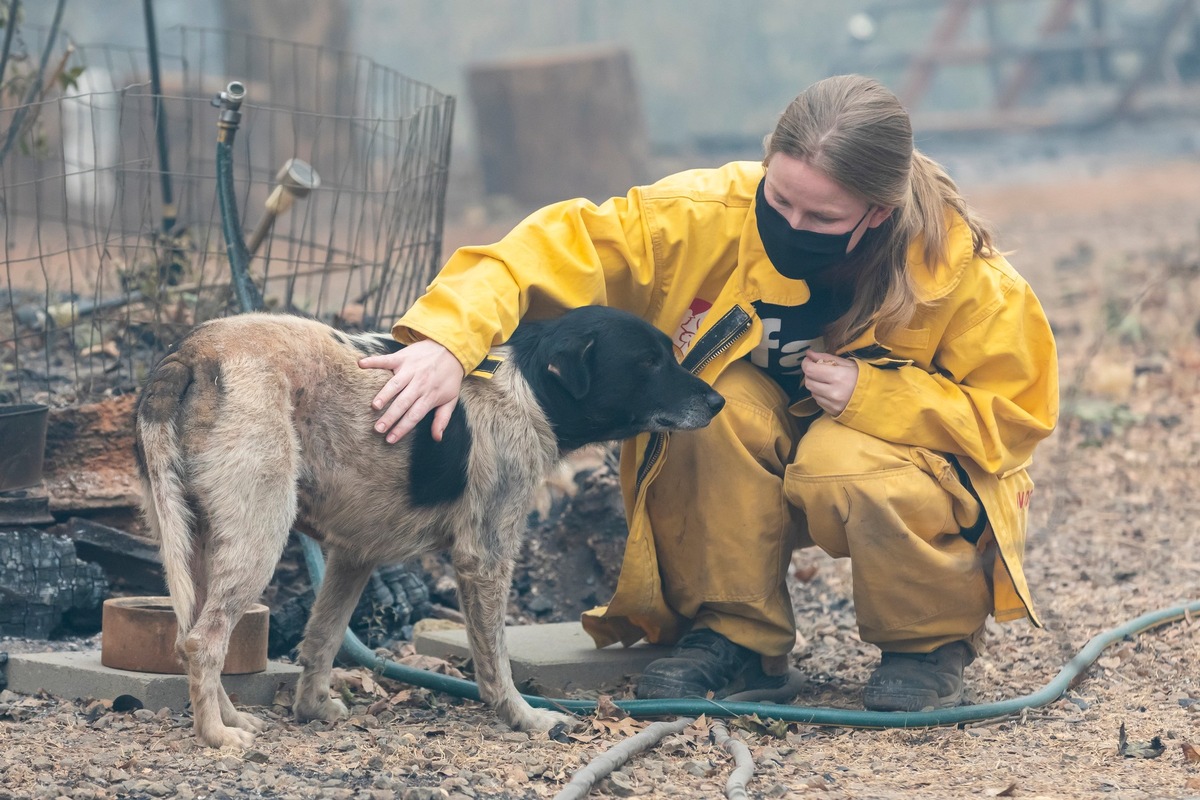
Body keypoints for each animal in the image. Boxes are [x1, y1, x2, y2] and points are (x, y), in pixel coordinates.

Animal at [136, 309, 724, 753]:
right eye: (649, 362)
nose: (719, 401)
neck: (529, 387)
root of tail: (195, 351)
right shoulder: (485, 557)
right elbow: (494, 660)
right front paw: (525, 718)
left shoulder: (354, 555)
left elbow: (323, 637)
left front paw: (312, 708)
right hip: (258, 535)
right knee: (204, 641)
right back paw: (215, 735)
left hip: (195, 541)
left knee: (190, 637)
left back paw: (231, 718)